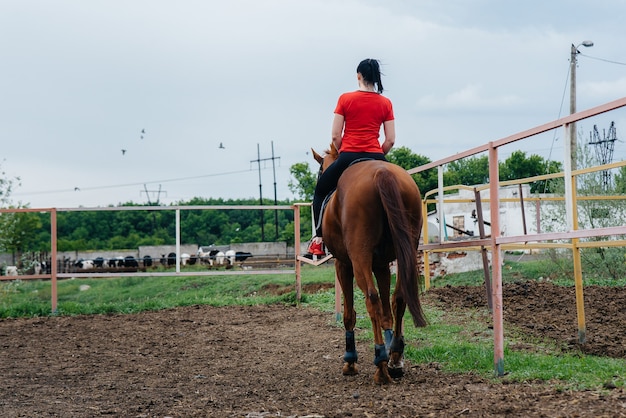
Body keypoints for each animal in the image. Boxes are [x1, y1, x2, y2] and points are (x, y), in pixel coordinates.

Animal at [312, 145, 428, 386]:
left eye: (320, 171)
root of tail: (382, 173)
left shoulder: (343, 265)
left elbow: (350, 314)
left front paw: (350, 361)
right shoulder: (382, 266)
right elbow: (386, 312)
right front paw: (393, 350)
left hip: (359, 257)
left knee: (371, 300)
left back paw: (381, 364)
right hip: (406, 250)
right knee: (399, 297)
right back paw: (394, 357)